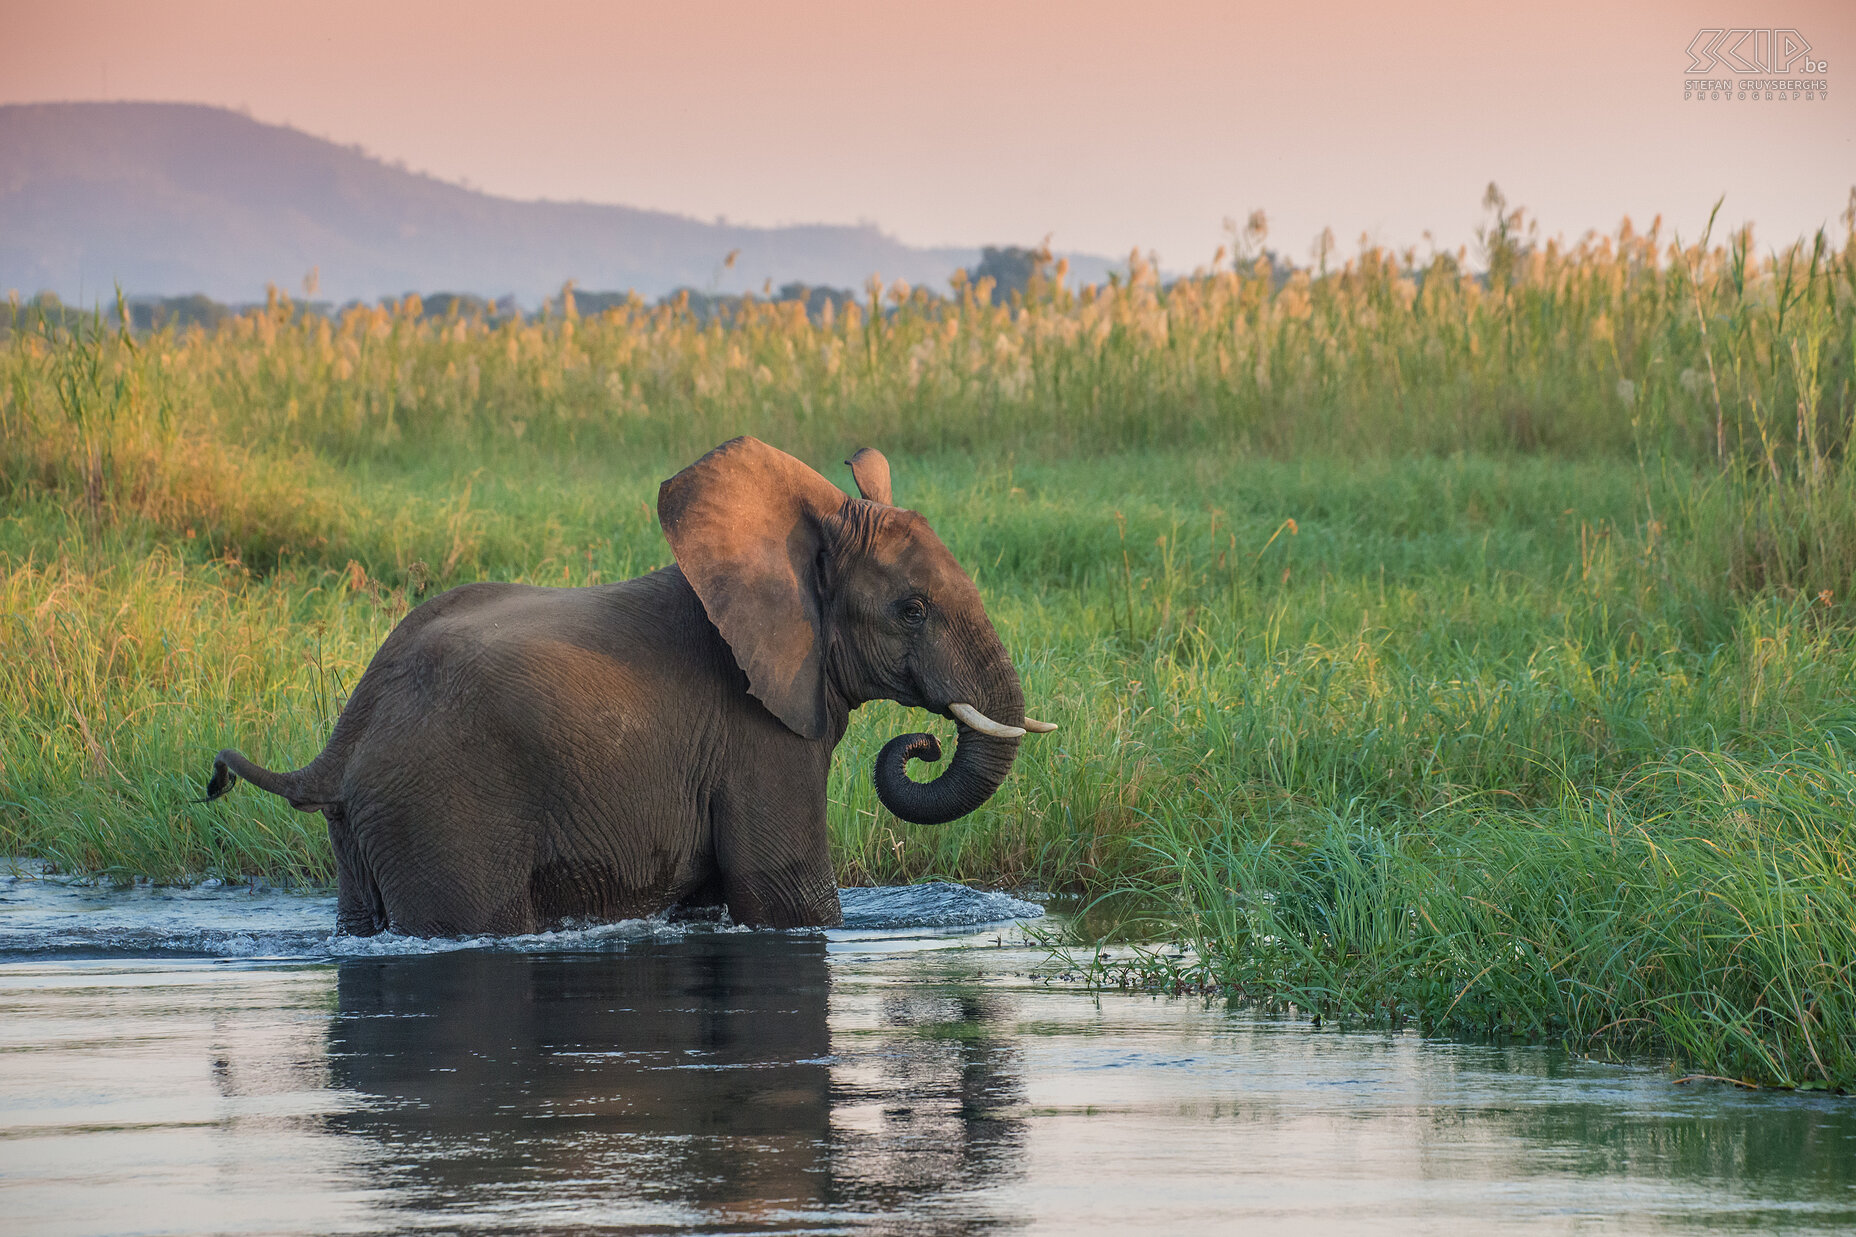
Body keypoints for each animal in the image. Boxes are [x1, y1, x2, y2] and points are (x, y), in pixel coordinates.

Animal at [205, 432, 1061, 924]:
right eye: (912, 610)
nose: (921, 743)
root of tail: (342, 740)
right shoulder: (759, 735)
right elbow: (790, 894)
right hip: (441, 808)